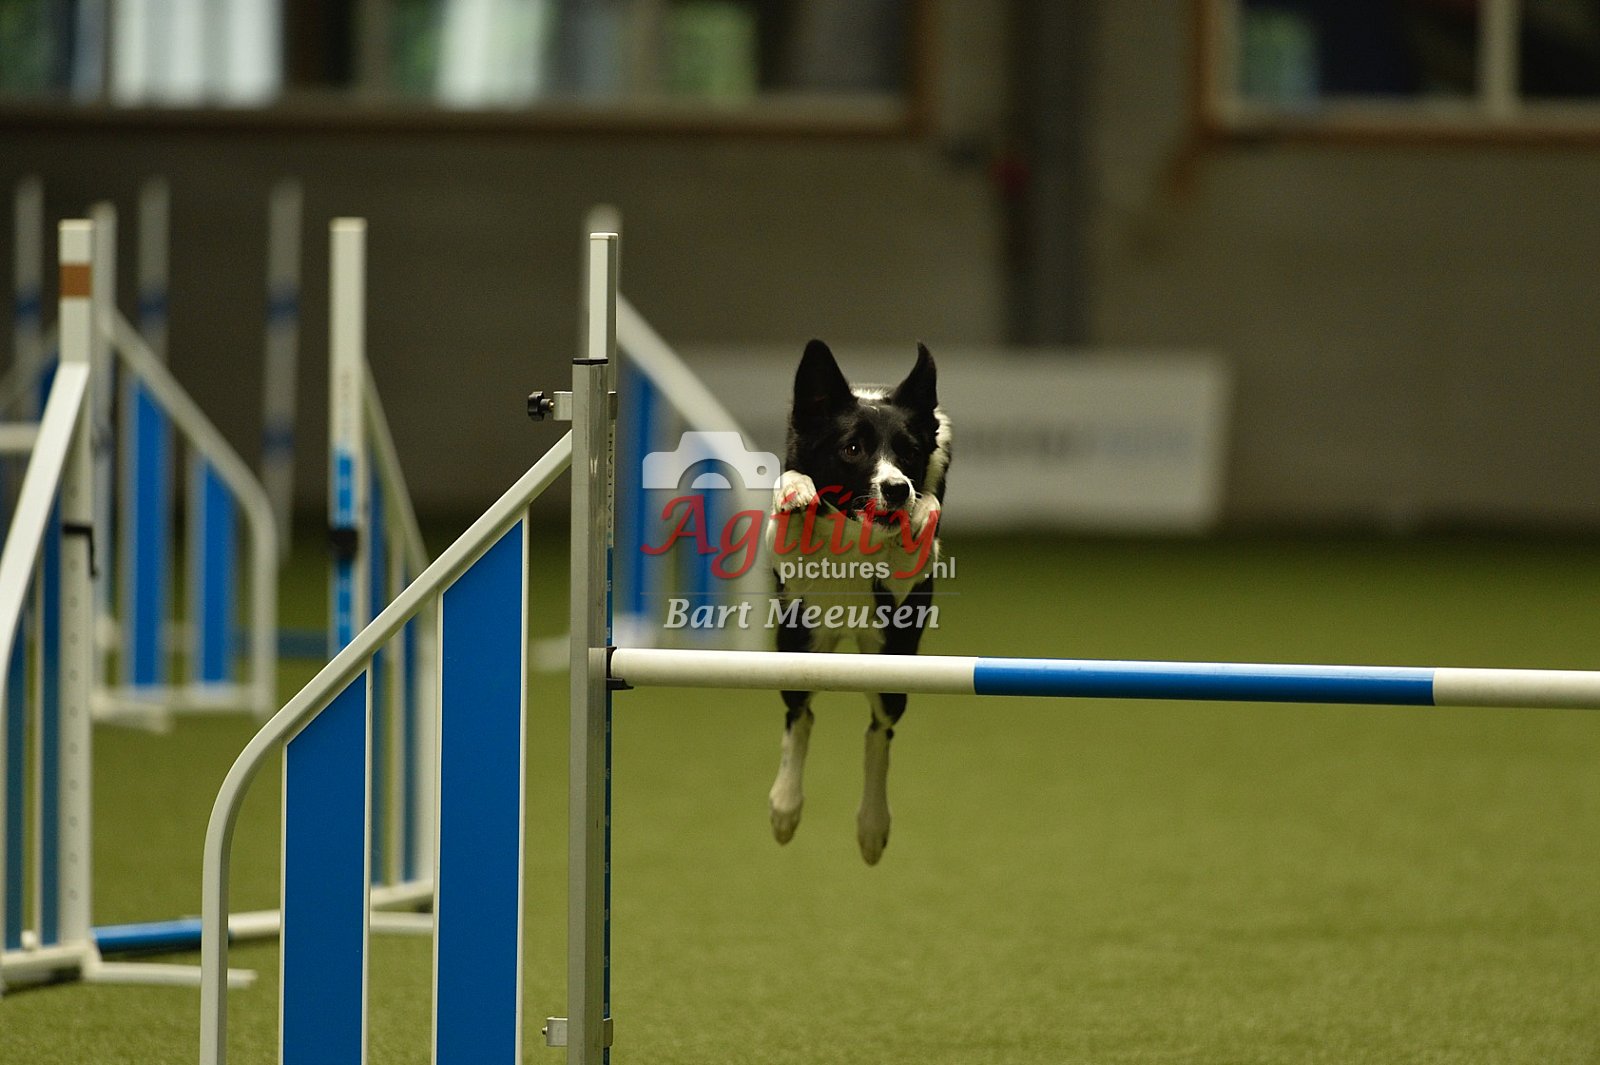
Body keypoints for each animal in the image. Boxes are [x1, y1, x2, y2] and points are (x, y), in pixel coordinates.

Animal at [764, 340, 950, 864]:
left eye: (909, 452)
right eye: (852, 448)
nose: (897, 488)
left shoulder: (904, 588)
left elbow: (919, 534)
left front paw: (921, 512)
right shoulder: (786, 560)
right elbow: (789, 507)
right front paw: (797, 490)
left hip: (891, 665)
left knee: (878, 733)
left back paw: (872, 826)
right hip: (797, 646)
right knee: (799, 716)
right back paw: (785, 806)